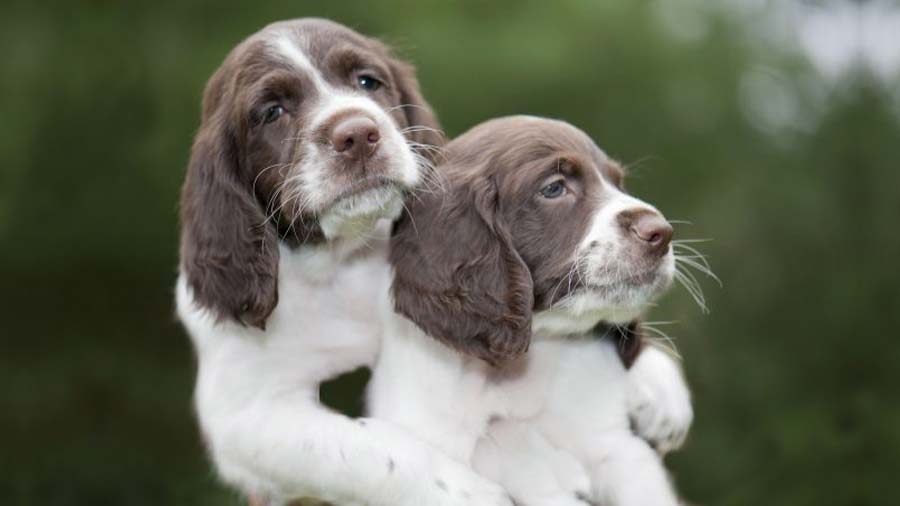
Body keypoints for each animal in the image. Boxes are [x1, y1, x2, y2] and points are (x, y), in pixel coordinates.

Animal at [174, 18, 520, 506]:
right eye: (272, 111)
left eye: (367, 82)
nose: (356, 135)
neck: (343, 261)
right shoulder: (246, 414)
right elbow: (366, 444)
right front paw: (468, 493)